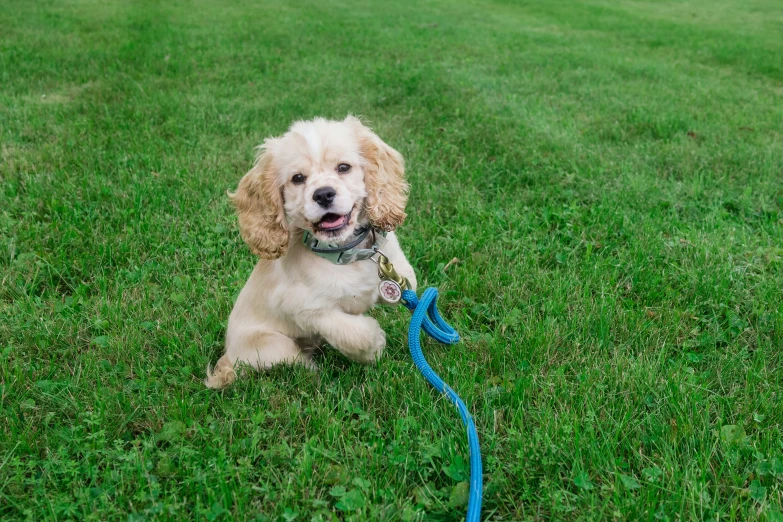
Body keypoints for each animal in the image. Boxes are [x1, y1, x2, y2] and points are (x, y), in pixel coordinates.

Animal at [205, 117, 420, 386]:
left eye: (343, 167)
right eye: (297, 178)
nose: (324, 194)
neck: (343, 254)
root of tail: (228, 357)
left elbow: (405, 276)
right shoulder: (305, 308)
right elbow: (353, 332)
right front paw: (375, 344)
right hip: (274, 345)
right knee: (295, 361)